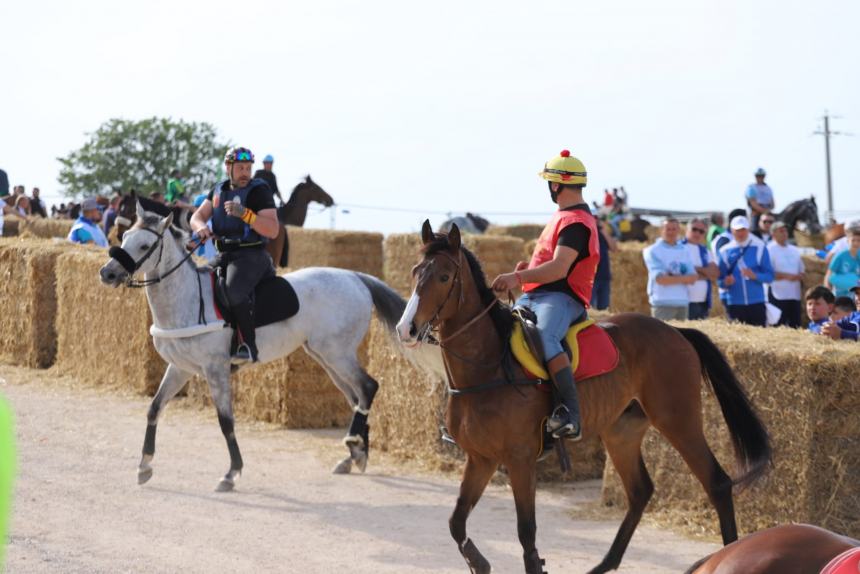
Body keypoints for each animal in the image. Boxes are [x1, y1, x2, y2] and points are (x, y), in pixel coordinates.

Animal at [99, 205, 444, 492]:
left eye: (145, 246)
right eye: (125, 236)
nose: (107, 273)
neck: (187, 298)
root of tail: (355, 277)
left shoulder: (215, 370)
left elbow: (226, 421)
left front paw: (232, 473)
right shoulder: (180, 368)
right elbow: (154, 408)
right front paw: (144, 466)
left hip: (337, 354)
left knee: (369, 386)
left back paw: (354, 447)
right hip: (325, 357)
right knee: (357, 396)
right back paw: (354, 454)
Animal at [396, 220, 772, 574]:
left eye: (444, 276)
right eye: (415, 272)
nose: (406, 329)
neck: (488, 367)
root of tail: (675, 332)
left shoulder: (519, 459)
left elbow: (526, 533)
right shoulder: (480, 458)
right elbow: (456, 522)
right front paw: (479, 561)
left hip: (678, 421)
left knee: (718, 483)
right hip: (622, 432)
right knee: (640, 491)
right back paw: (603, 564)